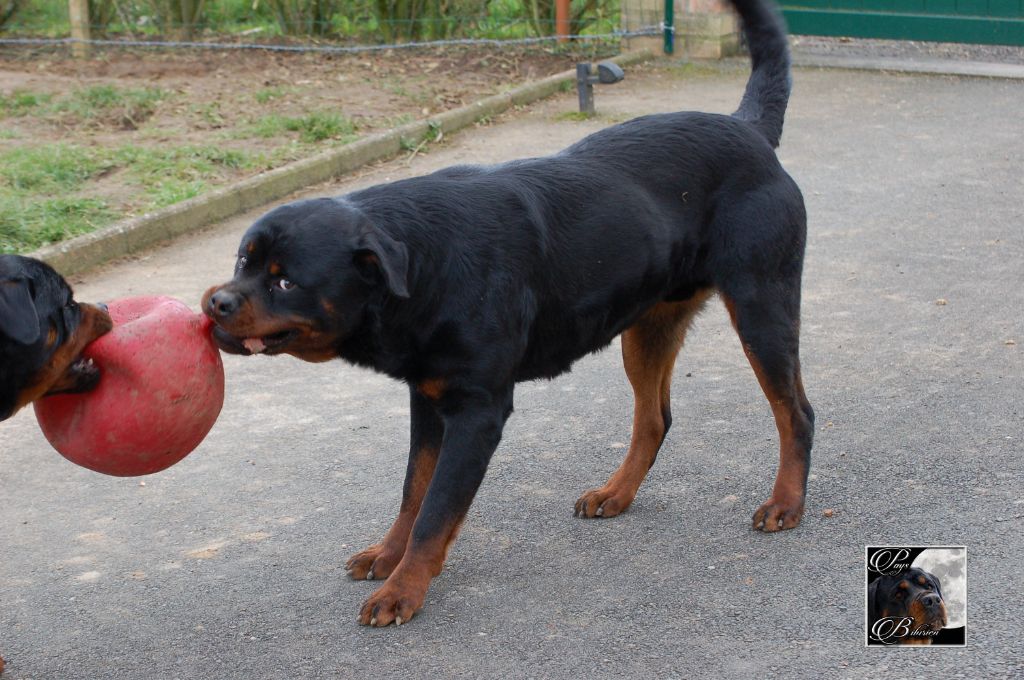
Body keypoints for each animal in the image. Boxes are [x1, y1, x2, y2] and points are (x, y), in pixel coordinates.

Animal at [203, 0, 811, 626]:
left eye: (284, 281)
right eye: (243, 260)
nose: (216, 301)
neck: (426, 267)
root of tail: (748, 128)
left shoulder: (477, 411)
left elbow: (435, 510)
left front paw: (403, 588)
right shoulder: (428, 399)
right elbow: (413, 492)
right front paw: (388, 555)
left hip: (762, 306)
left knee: (796, 413)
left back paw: (785, 503)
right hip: (649, 328)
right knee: (654, 418)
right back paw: (616, 493)